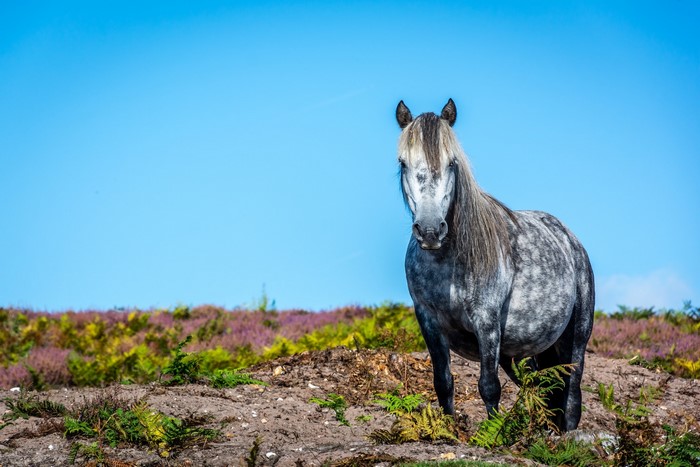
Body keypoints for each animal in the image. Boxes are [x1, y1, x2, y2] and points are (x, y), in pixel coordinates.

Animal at [395, 99, 594, 432]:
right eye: (403, 163)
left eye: (452, 163)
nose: (430, 230)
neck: (446, 263)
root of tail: (570, 239)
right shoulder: (428, 322)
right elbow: (443, 383)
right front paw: (449, 432)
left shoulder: (486, 323)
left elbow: (488, 386)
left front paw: (495, 434)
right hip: (523, 353)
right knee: (541, 389)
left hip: (576, 338)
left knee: (570, 395)